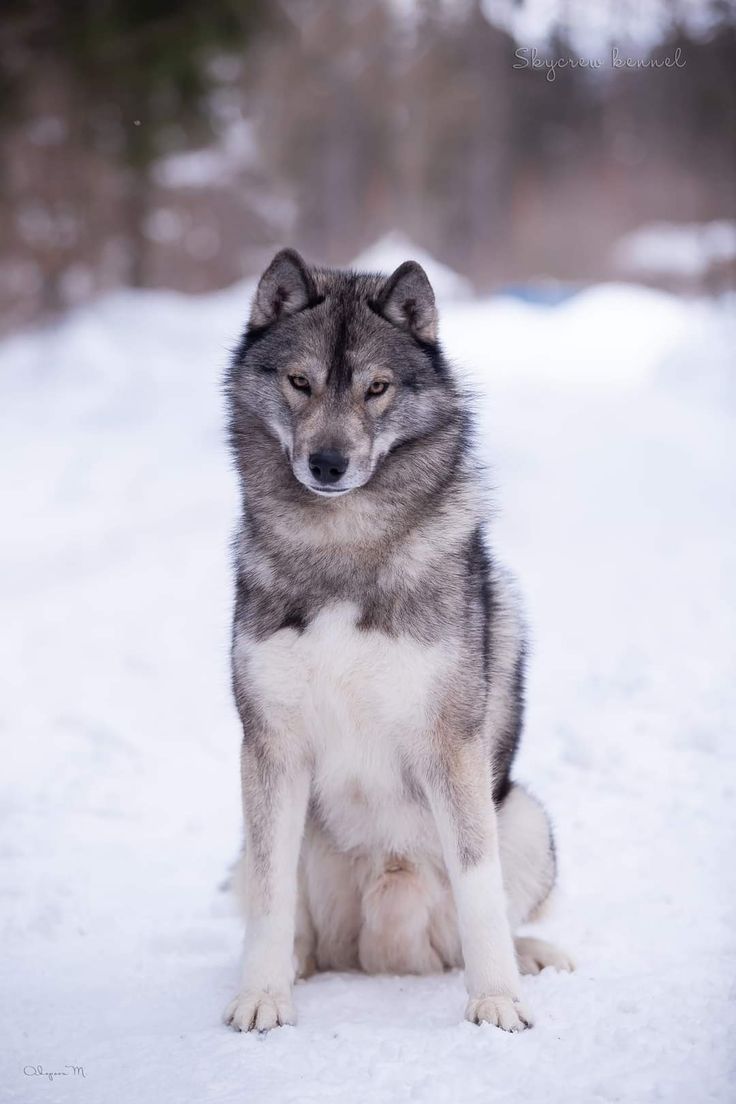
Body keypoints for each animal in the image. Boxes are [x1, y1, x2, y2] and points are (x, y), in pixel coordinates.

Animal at [221, 250, 573, 1033]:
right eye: (300, 382)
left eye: (376, 388)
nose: (327, 464)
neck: (342, 545)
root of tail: (379, 953)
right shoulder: (271, 747)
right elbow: (269, 897)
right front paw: (260, 997)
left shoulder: (451, 748)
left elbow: (479, 889)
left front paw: (498, 1001)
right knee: (282, 909)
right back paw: (295, 969)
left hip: (525, 817)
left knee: (492, 918)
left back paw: (534, 956)